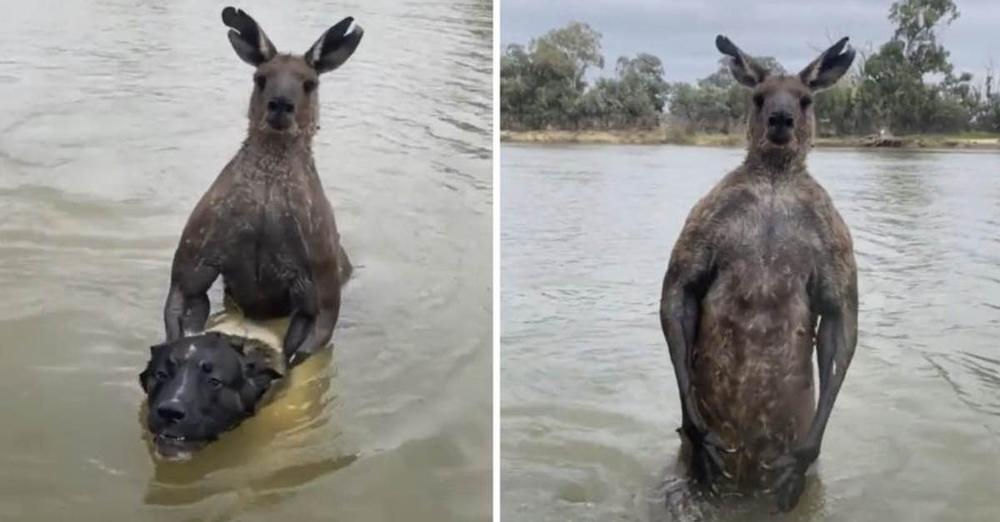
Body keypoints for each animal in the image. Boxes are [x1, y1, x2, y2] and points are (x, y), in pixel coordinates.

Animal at [141, 7, 360, 456]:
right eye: (261, 78)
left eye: (309, 83)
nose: (280, 105)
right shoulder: (195, 264)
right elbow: (183, 308)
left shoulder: (317, 286)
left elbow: (305, 341)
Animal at [664, 35, 860, 508]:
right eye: (758, 97)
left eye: (806, 99)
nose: (781, 120)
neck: (773, 181)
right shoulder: (702, 224)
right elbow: (680, 292)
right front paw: (700, 433)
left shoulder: (837, 244)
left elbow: (840, 320)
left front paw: (802, 457)